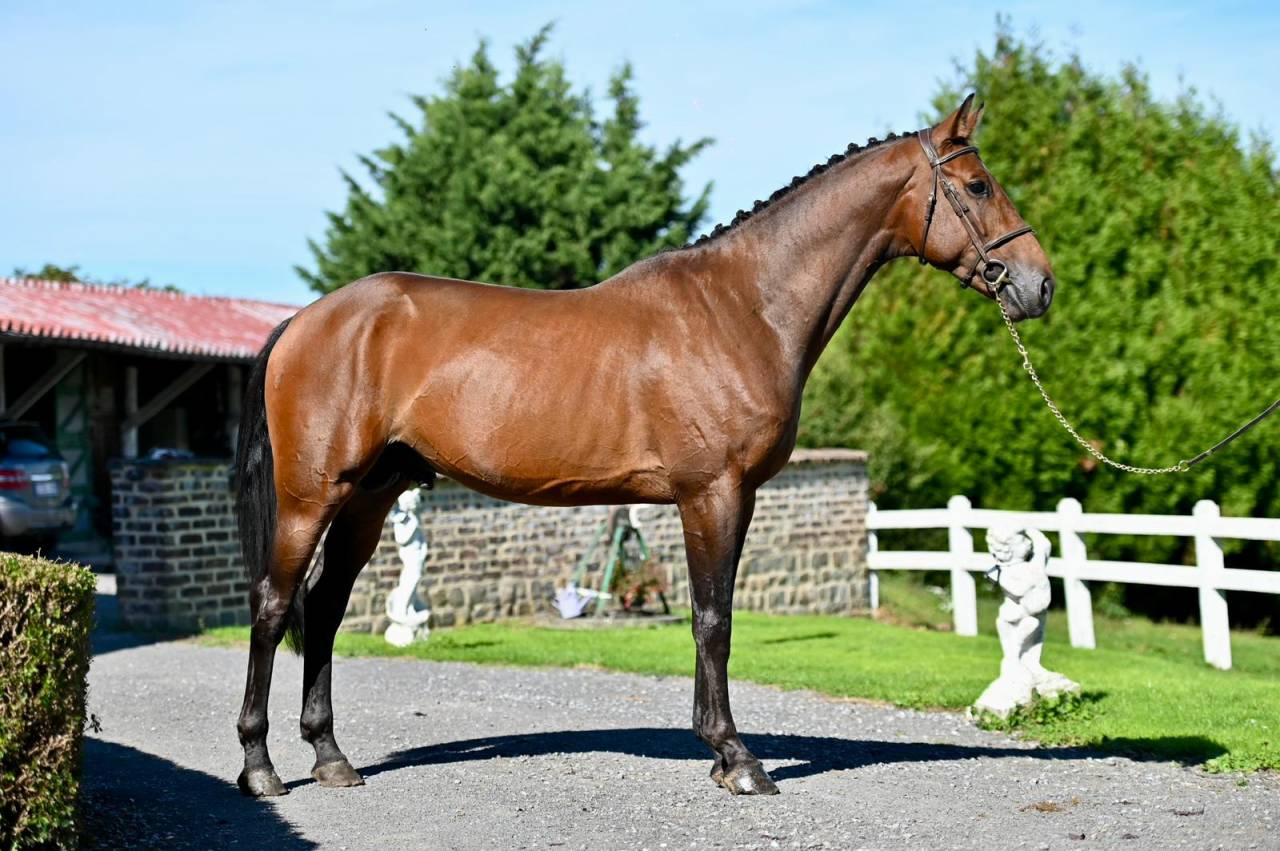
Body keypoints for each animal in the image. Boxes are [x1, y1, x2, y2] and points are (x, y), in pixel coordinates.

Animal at [233, 94, 1055, 798]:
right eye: (978, 185)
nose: (1039, 285)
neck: (743, 306)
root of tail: (305, 321)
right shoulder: (714, 492)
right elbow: (714, 618)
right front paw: (736, 758)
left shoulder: (721, 498)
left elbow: (705, 615)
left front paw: (721, 752)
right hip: (313, 495)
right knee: (274, 604)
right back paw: (260, 766)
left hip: (370, 495)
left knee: (325, 606)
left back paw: (332, 758)